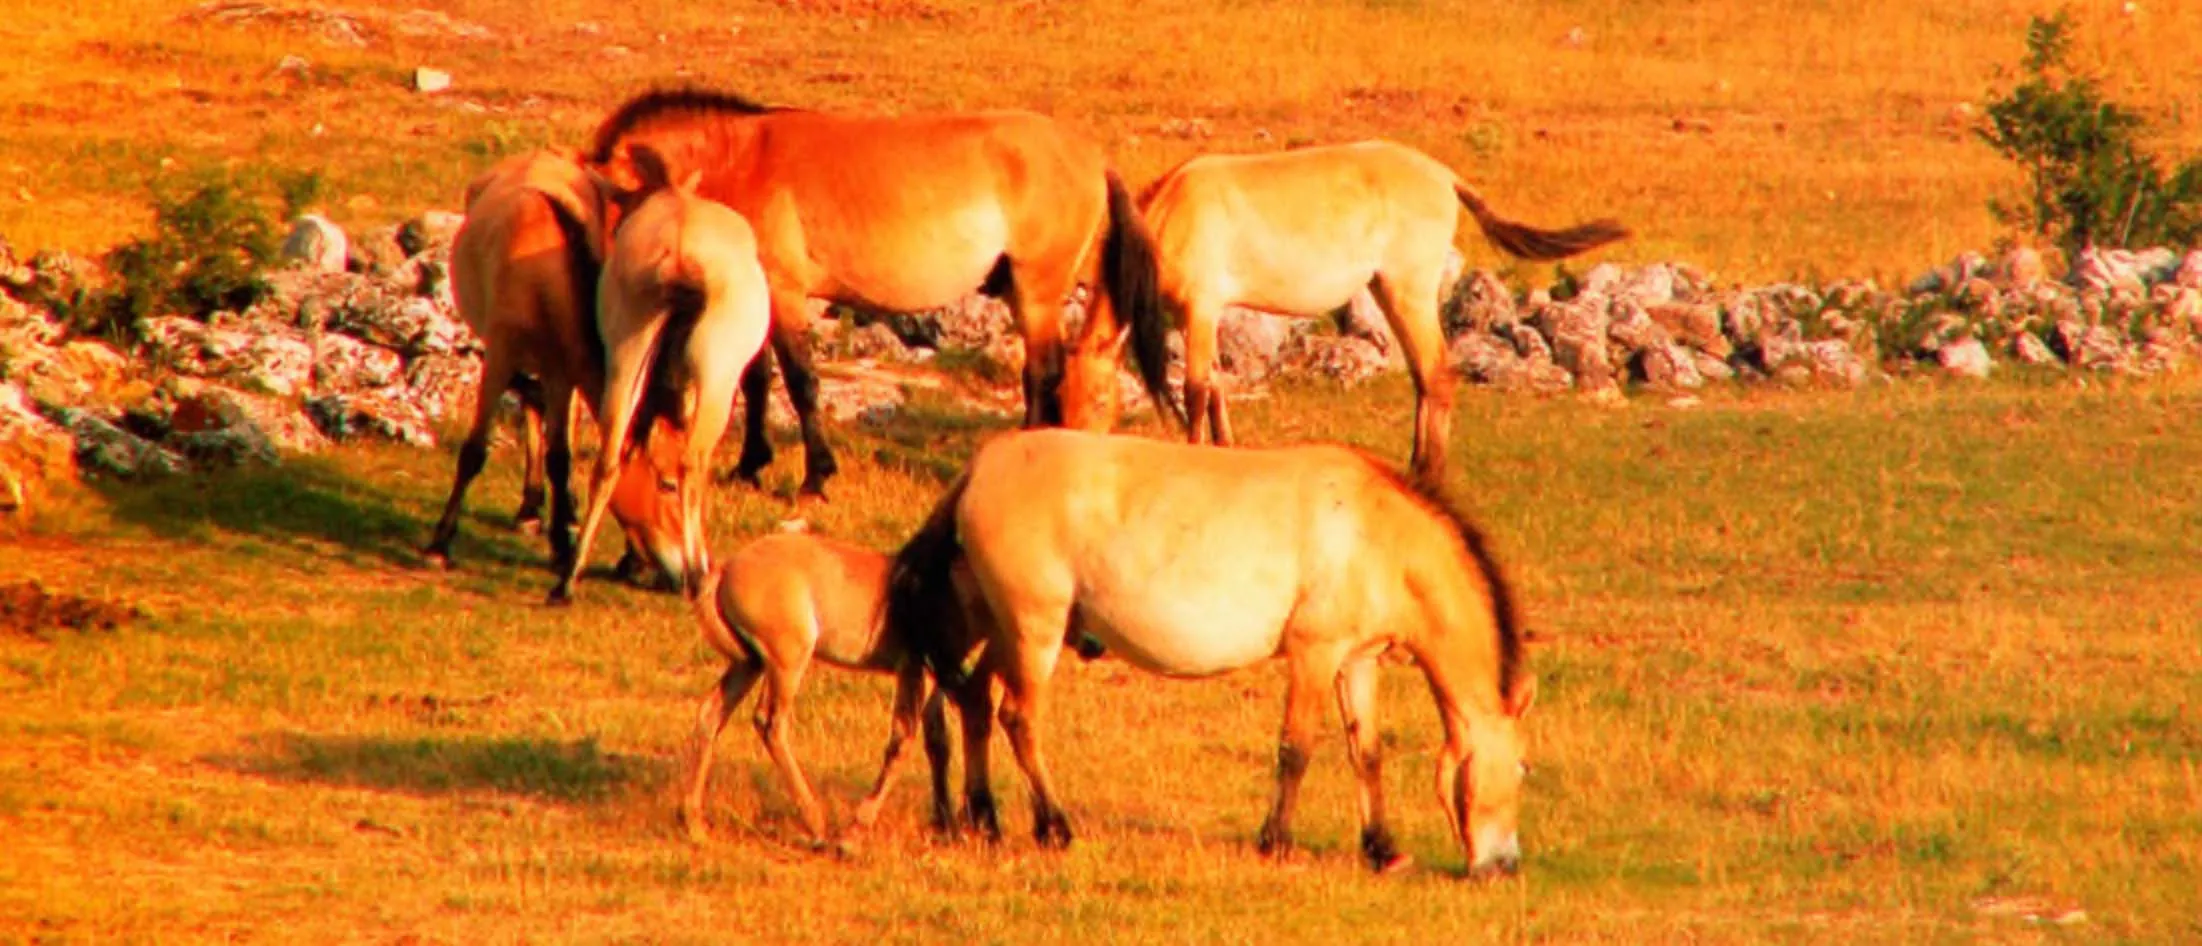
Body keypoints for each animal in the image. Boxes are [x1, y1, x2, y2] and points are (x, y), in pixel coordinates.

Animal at [554, 146, 779, 607]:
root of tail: (680, 253)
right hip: (716, 381)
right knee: (692, 460)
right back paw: (696, 576)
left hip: (627, 355)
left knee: (610, 455)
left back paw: (568, 576)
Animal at [576, 88, 1180, 499]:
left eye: (613, 213)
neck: (741, 161)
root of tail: (1091, 157)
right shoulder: (760, 293)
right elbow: (756, 380)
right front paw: (749, 466)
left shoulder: (785, 292)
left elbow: (800, 381)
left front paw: (815, 478)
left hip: (1037, 294)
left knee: (1042, 375)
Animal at [885, 429, 1541, 880]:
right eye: (1518, 769)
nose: (1504, 866)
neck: (1374, 529)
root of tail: (980, 466)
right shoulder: (1314, 655)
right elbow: (1296, 749)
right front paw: (1275, 842)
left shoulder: (1357, 661)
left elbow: (1367, 754)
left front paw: (1382, 849)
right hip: (1033, 630)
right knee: (1017, 718)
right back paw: (1054, 827)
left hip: (1000, 628)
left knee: (973, 702)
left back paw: (984, 818)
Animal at [1065, 138, 1638, 479]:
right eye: (1058, 395)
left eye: (1097, 399)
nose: (1071, 454)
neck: (1172, 215)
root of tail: (1445, 177)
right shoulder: (1204, 315)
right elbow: (1219, 388)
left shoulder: (1201, 309)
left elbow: (1198, 389)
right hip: (1388, 291)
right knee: (1423, 376)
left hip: (1410, 290)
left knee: (1438, 372)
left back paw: (1427, 476)